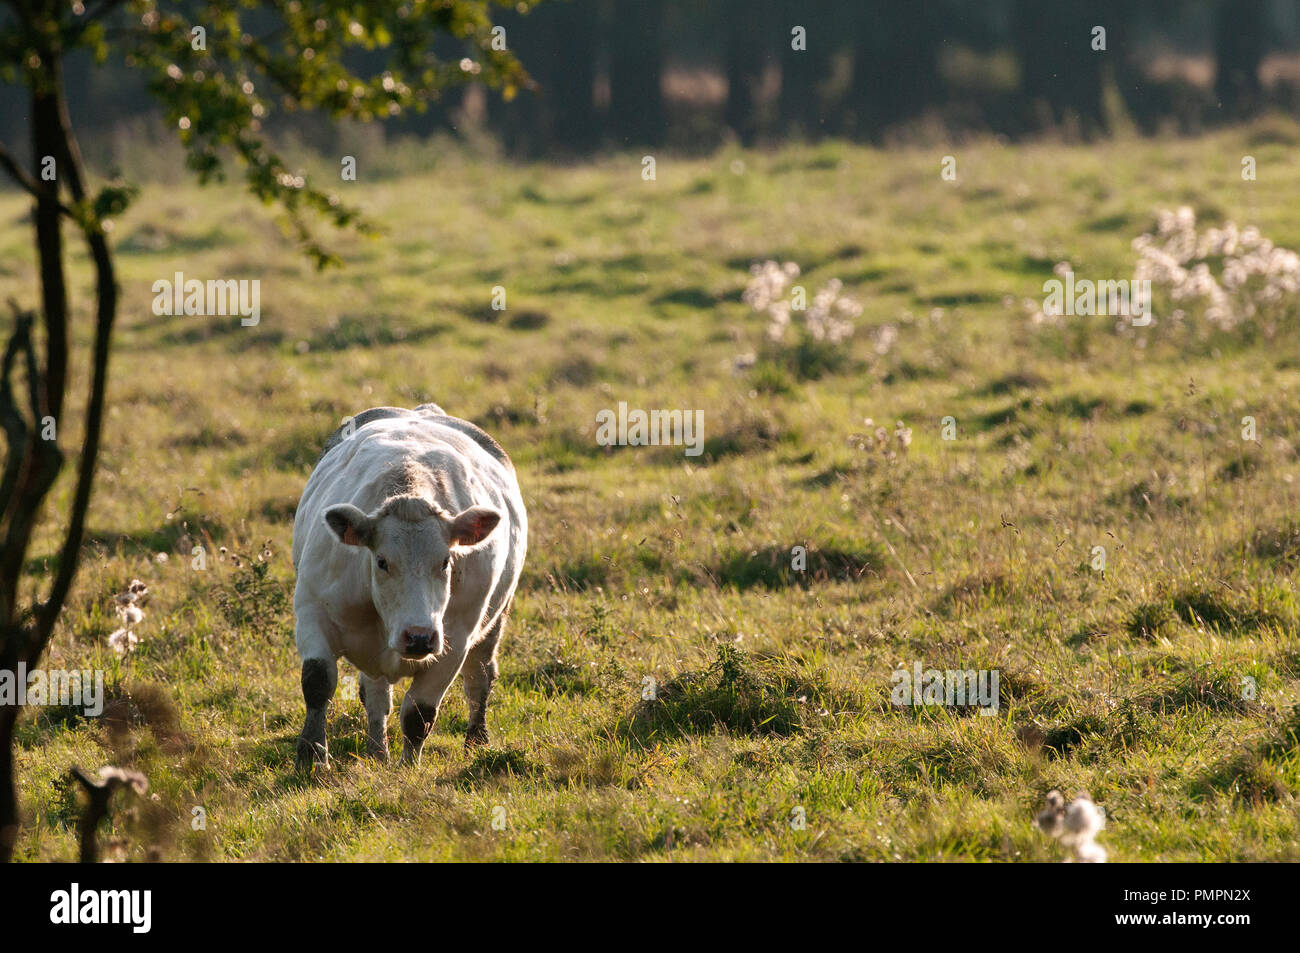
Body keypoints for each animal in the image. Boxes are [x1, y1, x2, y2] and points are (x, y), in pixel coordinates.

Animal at [292, 400, 525, 764]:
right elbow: (317, 682)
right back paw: (377, 751)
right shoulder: (312, 610)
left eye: (445, 561)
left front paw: (408, 768)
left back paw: (476, 740)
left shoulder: (454, 641)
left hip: (494, 620)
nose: (418, 637)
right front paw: (312, 756)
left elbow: (420, 713)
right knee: (375, 693)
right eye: (382, 561)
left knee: (480, 677)